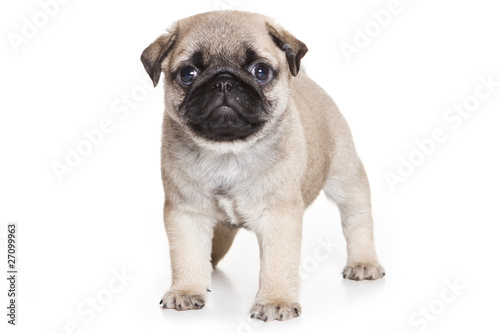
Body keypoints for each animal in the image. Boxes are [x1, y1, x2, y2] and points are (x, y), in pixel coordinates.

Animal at [142, 11, 386, 322]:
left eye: (260, 71)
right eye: (188, 74)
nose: (224, 81)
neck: (228, 151)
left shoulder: (278, 216)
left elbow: (277, 264)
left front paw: (275, 301)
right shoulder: (187, 214)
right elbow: (187, 256)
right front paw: (186, 290)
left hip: (345, 175)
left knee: (357, 218)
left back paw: (363, 261)